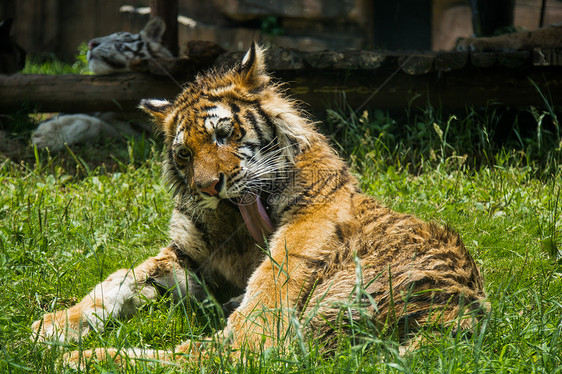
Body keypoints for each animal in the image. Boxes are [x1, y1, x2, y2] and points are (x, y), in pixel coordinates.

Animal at [30, 43, 486, 366]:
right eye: (183, 154)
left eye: (222, 134)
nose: (208, 187)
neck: (233, 220)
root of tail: (456, 319)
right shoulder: (184, 255)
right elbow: (118, 280)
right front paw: (52, 326)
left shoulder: (298, 237)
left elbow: (270, 285)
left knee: (227, 354)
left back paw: (85, 360)